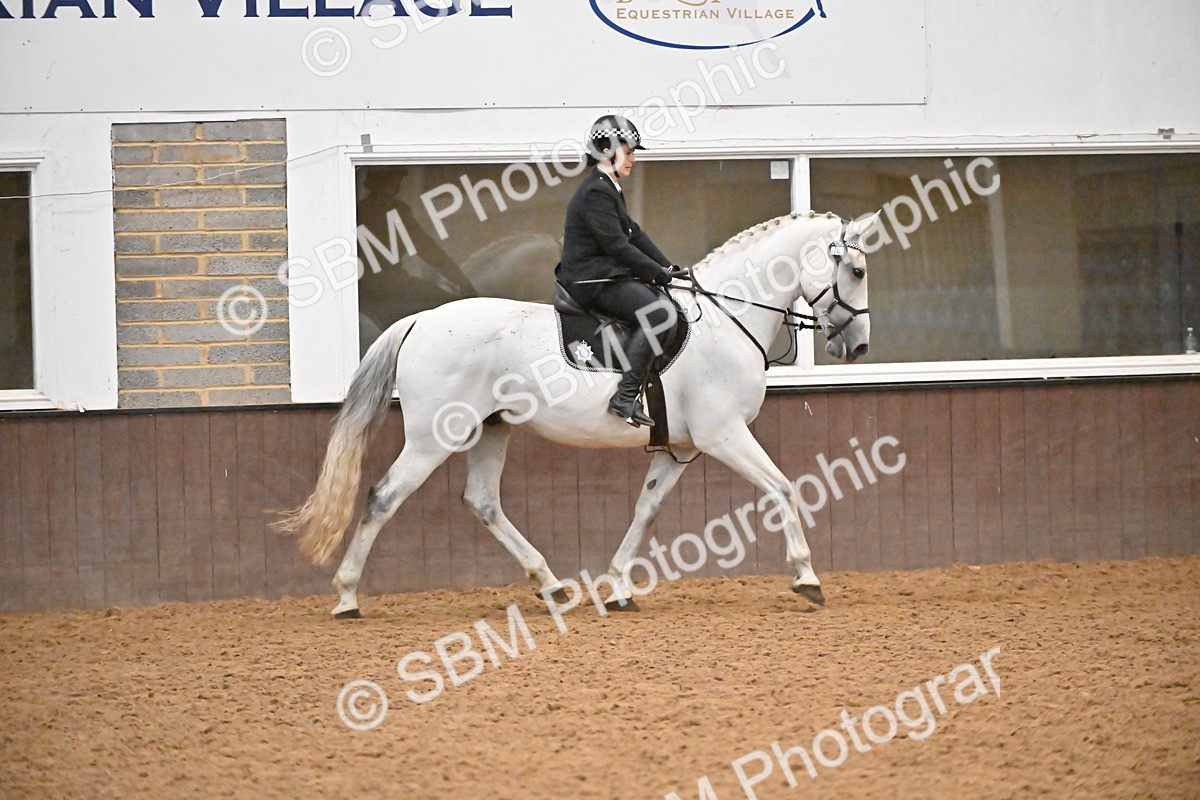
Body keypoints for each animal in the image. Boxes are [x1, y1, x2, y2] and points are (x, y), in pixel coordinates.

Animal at [276, 211, 880, 617]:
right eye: (854, 269)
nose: (857, 347)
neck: (725, 319)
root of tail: (420, 319)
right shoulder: (724, 435)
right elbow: (782, 488)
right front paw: (807, 577)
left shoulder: (680, 449)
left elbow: (645, 511)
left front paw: (618, 588)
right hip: (431, 439)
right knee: (383, 497)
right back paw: (347, 597)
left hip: (491, 429)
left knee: (483, 502)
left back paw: (551, 585)